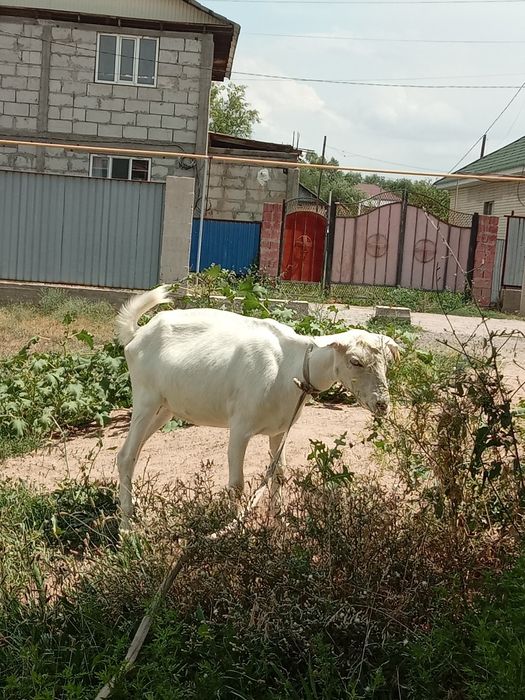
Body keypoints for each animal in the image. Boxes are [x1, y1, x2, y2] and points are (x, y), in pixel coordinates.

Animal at [116, 286, 400, 529]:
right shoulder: (240, 427)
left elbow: (279, 474)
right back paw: (127, 528)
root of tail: (136, 335)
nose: (382, 404)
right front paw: (238, 530)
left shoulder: (280, 430)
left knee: (134, 453)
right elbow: (236, 485)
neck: (290, 367)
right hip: (146, 399)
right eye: (355, 361)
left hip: (164, 409)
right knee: (126, 456)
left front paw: (280, 523)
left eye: (387, 362)